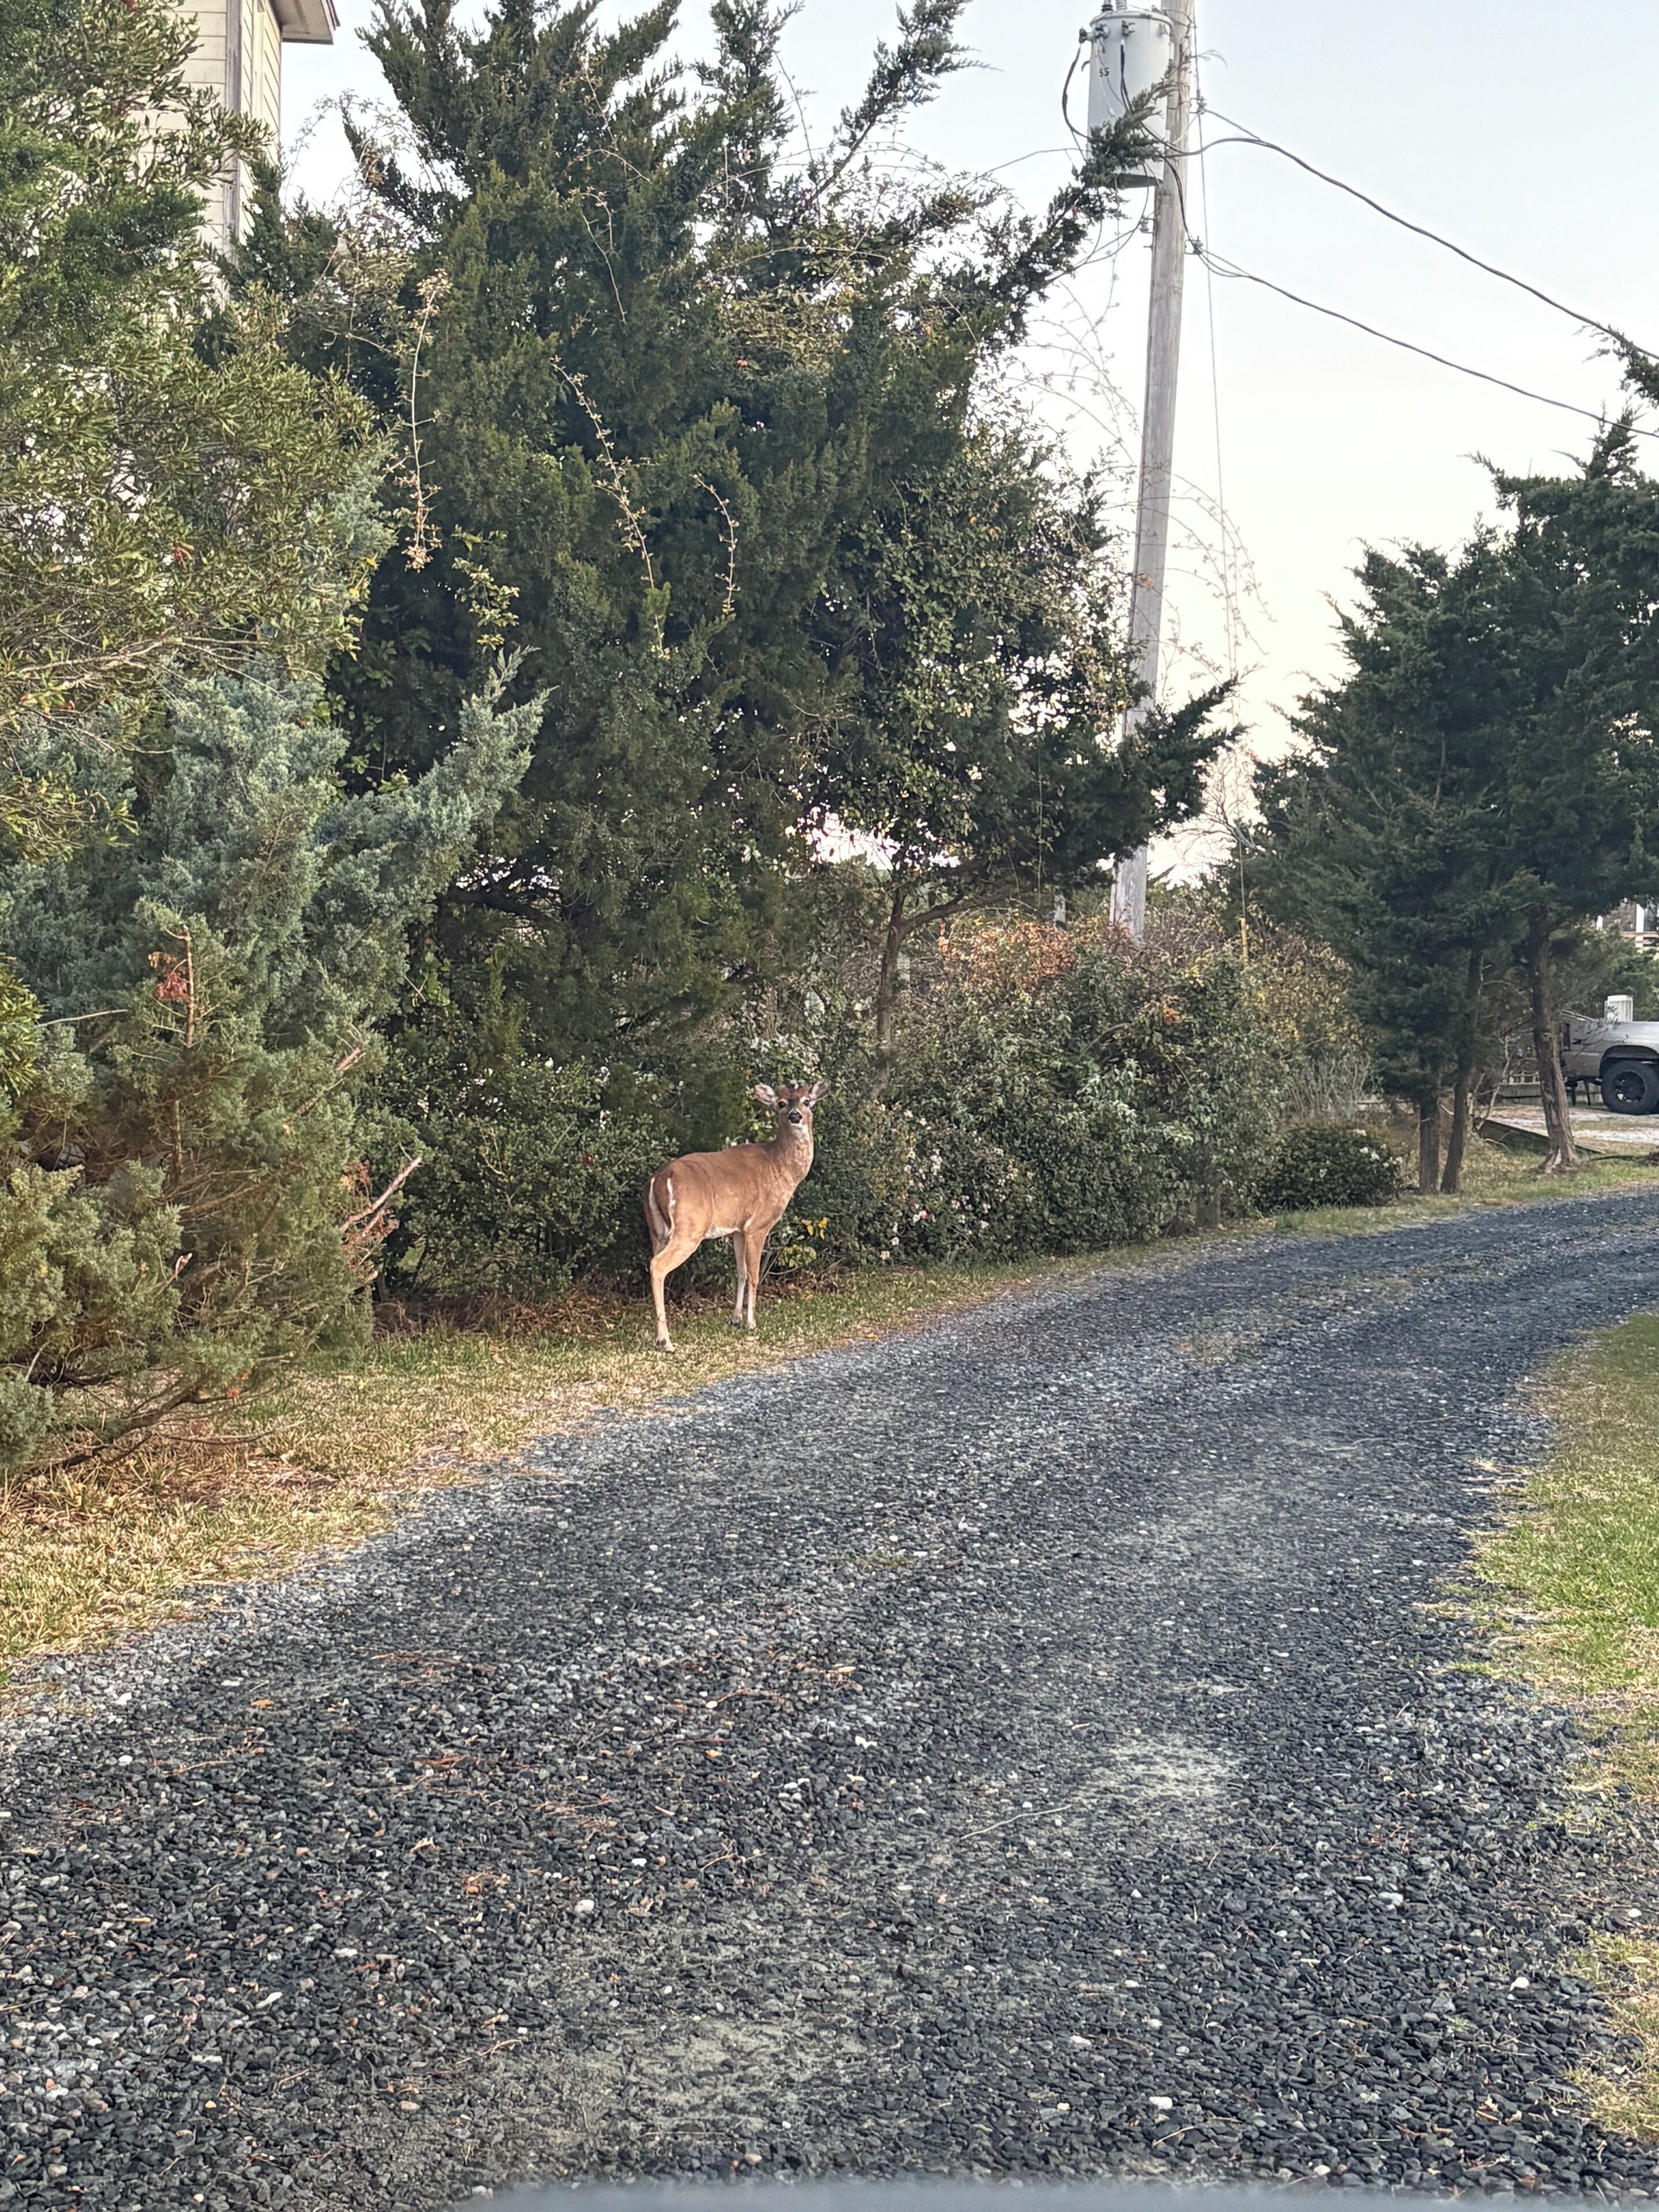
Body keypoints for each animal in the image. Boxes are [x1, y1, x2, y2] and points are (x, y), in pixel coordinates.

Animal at [644, 1081, 829, 1351]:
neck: (780, 1167)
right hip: (689, 1228)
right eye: (781, 1103)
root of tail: (661, 1177)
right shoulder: (758, 1225)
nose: (796, 1117)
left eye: (807, 1101)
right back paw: (666, 1341)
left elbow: (740, 1272)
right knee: (657, 1266)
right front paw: (751, 1322)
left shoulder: (737, 1229)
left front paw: (736, 1319)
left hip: (656, 1231)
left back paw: (659, 1336)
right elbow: (754, 1275)